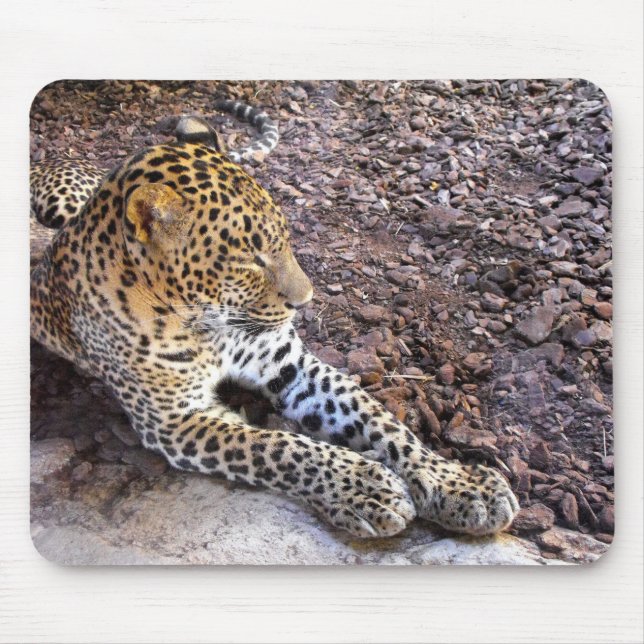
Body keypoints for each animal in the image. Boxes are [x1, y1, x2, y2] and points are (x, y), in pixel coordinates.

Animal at [30, 102, 519, 539]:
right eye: (250, 261)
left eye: (285, 238)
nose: (306, 302)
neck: (211, 325)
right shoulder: (174, 419)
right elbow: (276, 447)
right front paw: (366, 487)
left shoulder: (287, 363)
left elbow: (380, 421)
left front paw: (458, 483)